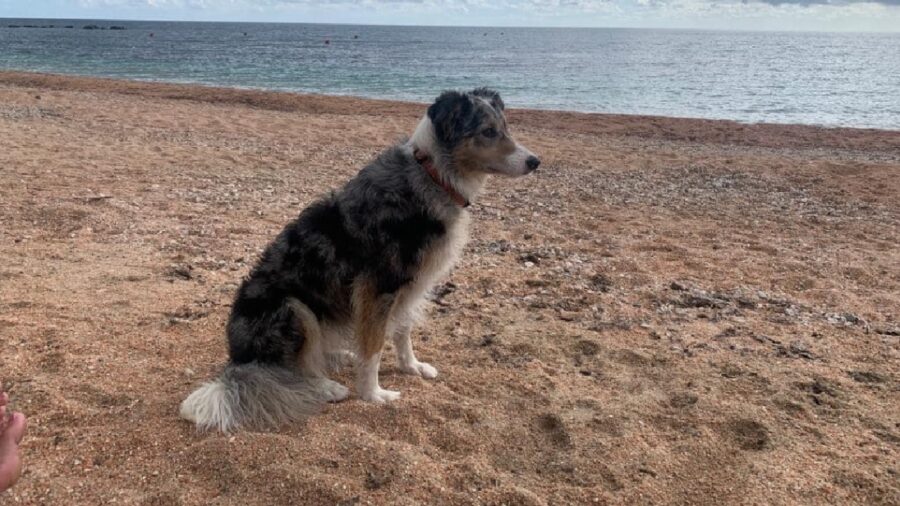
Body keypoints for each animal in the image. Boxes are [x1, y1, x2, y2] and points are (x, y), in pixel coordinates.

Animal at [179, 87, 536, 430]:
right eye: (488, 132)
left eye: (506, 127)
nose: (535, 161)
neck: (434, 175)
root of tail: (238, 360)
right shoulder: (378, 288)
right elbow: (375, 347)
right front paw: (373, 394)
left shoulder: (411, 286)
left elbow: (403, 331)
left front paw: (412, 367)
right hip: (294, 308)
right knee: (291, 371)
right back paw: (327, 387)